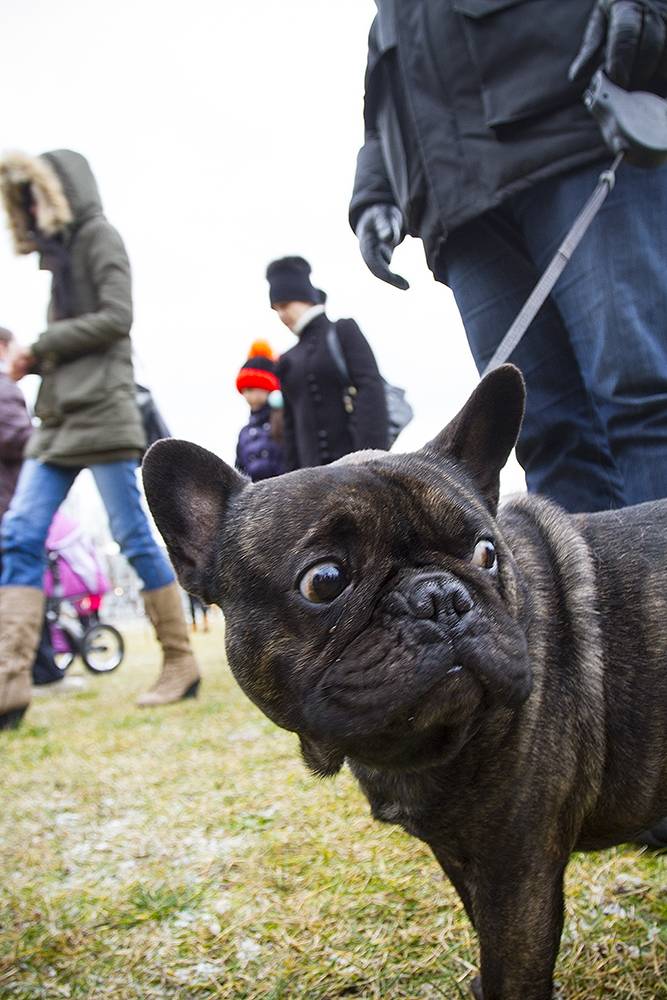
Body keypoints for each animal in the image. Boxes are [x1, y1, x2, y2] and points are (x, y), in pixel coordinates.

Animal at [142, 365, 667, 1000]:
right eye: (324, 581)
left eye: (487, 553)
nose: (441, 596)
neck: (420, 747)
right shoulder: (465, 860)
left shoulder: (518, 878)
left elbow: (511, 970)